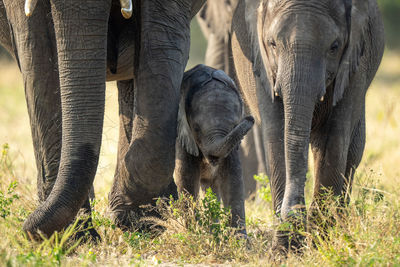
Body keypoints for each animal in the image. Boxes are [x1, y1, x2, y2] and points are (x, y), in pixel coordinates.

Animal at [174, 65, 253, 234]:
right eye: (196, 128)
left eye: (234, 125)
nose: (251, 118)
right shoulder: (181, 136)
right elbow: (186, 180)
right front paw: (193, 233)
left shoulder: (232, 145)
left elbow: (233, 179)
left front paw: (239, 240)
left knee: (210, 186)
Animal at [230, 0, 386, 251]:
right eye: (272, 44)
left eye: (334, 47)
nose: (293, 215)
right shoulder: (261, 67)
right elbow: (278, 134)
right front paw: (286, 247)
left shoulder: (355, 64)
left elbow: (333, 138)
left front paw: (321, 241)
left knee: (352, 153)